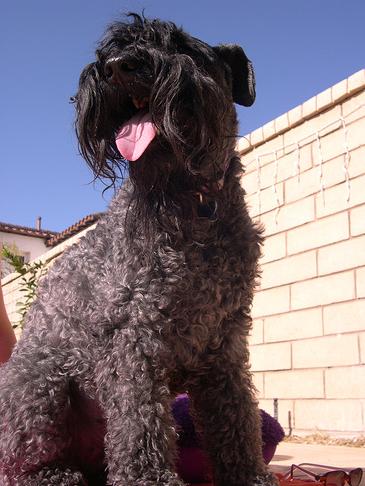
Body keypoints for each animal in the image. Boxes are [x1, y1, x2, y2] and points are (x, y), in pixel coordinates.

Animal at [0, 13, 276, 484]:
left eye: (183, 45)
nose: (116, 66)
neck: (192, 205)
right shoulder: (134, 338)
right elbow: (139, 421)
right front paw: (148, 478)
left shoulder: (224, 343)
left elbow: (235, 416)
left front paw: (249, 475)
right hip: (39, 389)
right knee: (22, 458)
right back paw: (55, 474)